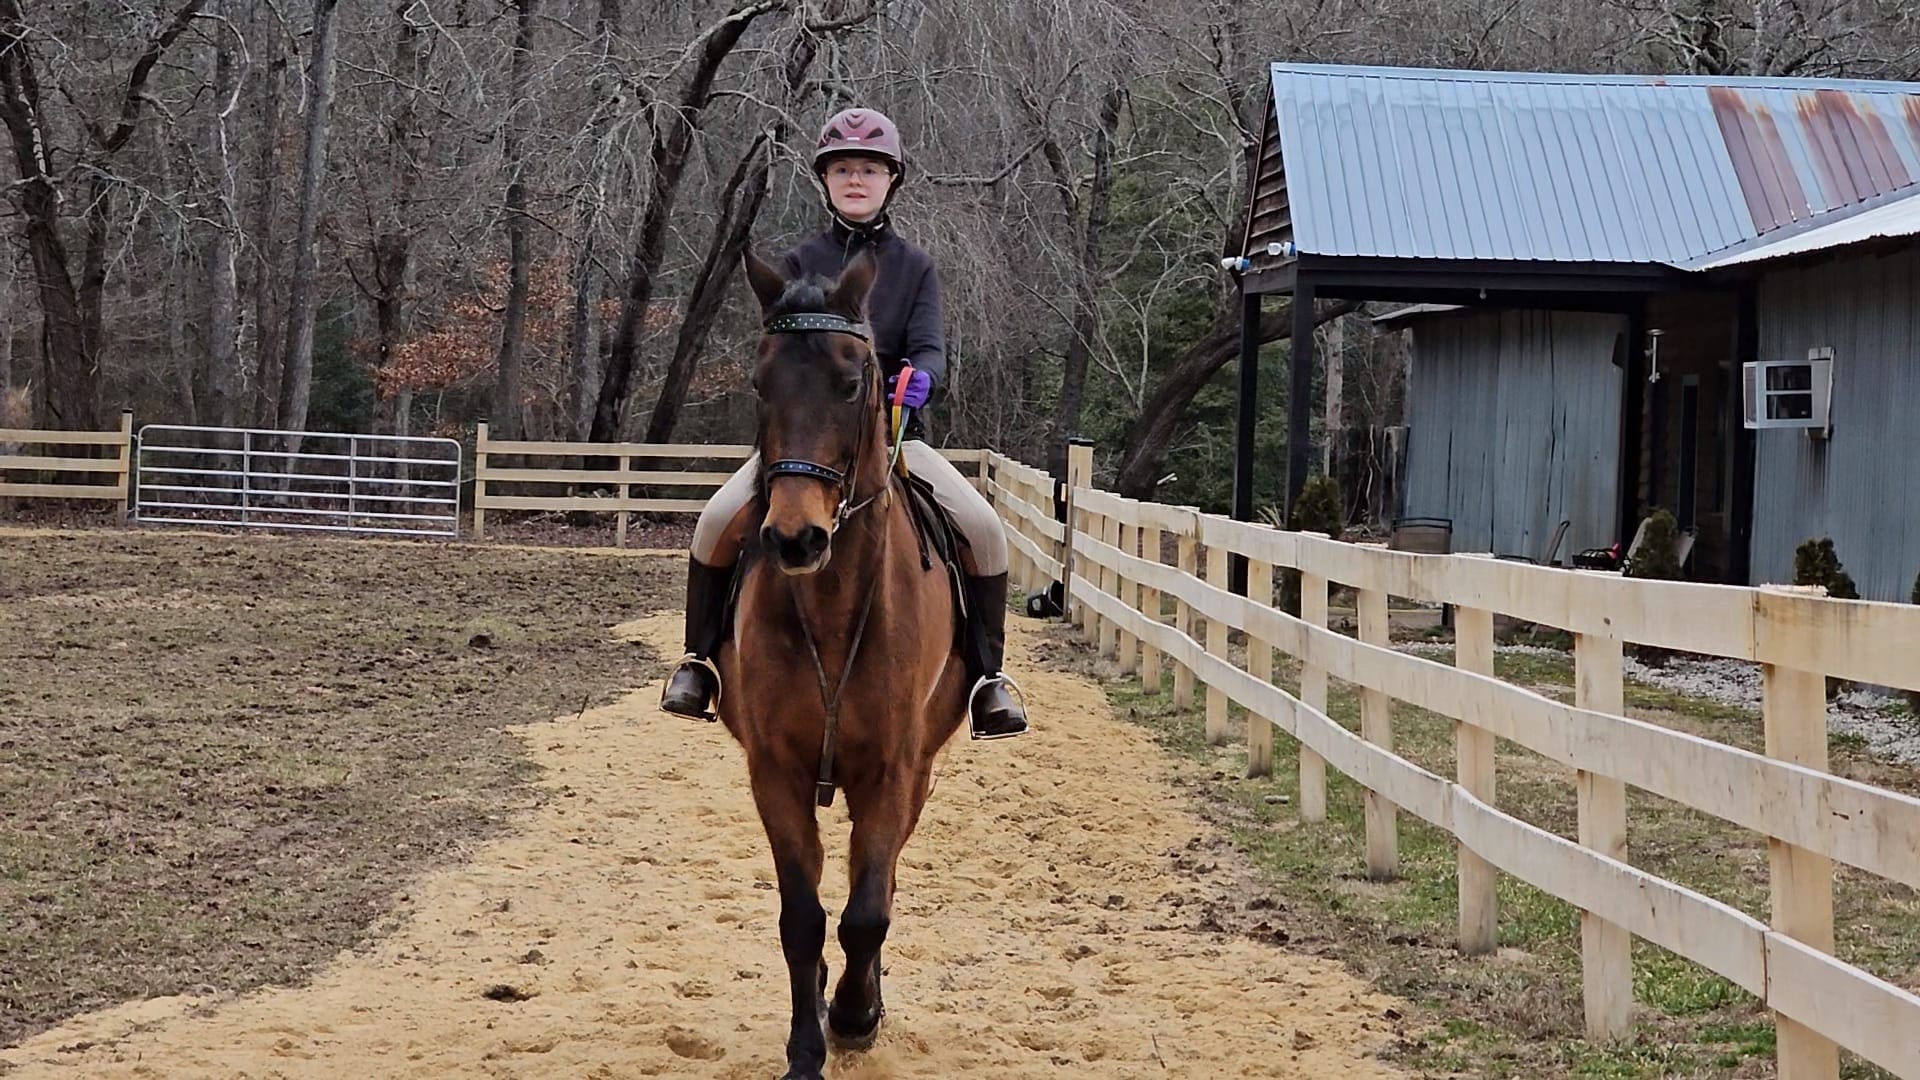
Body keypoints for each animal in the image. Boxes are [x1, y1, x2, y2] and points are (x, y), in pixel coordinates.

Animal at [714, 248, 971, 1080]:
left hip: (919, 768)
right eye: (760, 381)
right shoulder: (775, 769)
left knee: (880, 883)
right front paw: (807, 1045)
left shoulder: (890, 770)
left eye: (855, 383)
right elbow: (802, 916)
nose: (796, 539)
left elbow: (866, 912)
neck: (828, 610)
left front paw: (855, 1015)